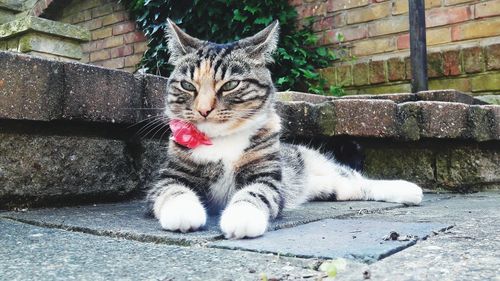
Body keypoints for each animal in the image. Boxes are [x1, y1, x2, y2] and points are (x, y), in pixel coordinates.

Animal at [146, 19, 424, 238]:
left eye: (231, 84)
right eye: (187, 85)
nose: (203, 110)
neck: (223, 141)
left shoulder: (267, 175)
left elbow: (256, 192)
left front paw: (242, 217)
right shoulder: (169, 175)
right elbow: (172, 189)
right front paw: (183, 212)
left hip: (314, 162)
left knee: (357, 178)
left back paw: (409, 189)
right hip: (328, 188)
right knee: (351, 188)